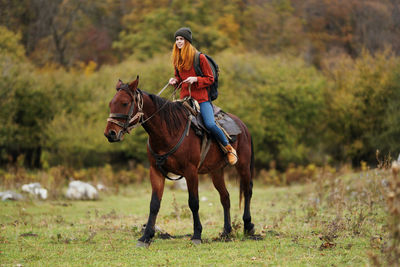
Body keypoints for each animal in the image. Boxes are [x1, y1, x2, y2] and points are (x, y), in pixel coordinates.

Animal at [103, 77, 253, 247]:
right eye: (111, 103)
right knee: (225, 197)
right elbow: (154, 204)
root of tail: (243, 126)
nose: (110, 133)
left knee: (247, 191)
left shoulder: (191, 172)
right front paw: (146, 236)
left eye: (124, 103)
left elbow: (193, 202)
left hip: (243, 166)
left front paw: (196, 235)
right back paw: (226, 232)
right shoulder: (156, 171)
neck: (169, 131)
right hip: (216, 172)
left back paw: (248, 226)